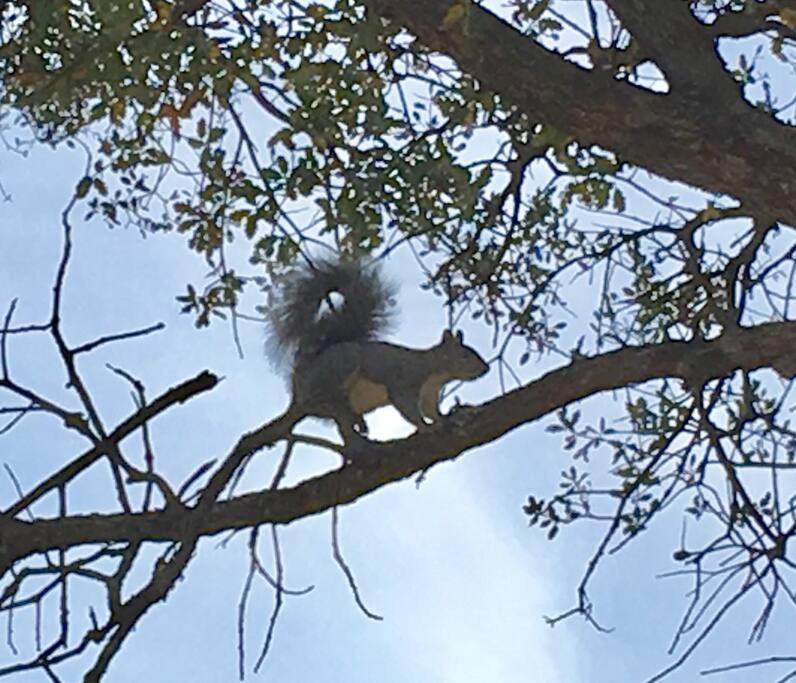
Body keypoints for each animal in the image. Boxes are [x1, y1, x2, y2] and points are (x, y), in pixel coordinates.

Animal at [266, 257, 489, 442]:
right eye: (465, 356)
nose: (485, 369)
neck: (434, 372)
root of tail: (298, 385)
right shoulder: (405, 381)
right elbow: (408, 409)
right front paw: (426, 427)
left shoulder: (429, 395)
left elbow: (431, 411)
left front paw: (442, 420)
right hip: (341, 366)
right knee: (323, 399)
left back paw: (357, 419)